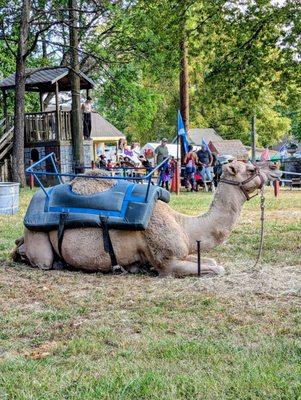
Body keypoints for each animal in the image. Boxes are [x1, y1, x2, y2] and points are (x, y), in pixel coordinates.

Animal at [15, 161, 280, 276]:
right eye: (251, 169)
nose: (275, 172)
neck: (184, 226)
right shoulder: (167, 262)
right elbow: (217, 269)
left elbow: (212, 262)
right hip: (39, 239)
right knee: (42, 260)